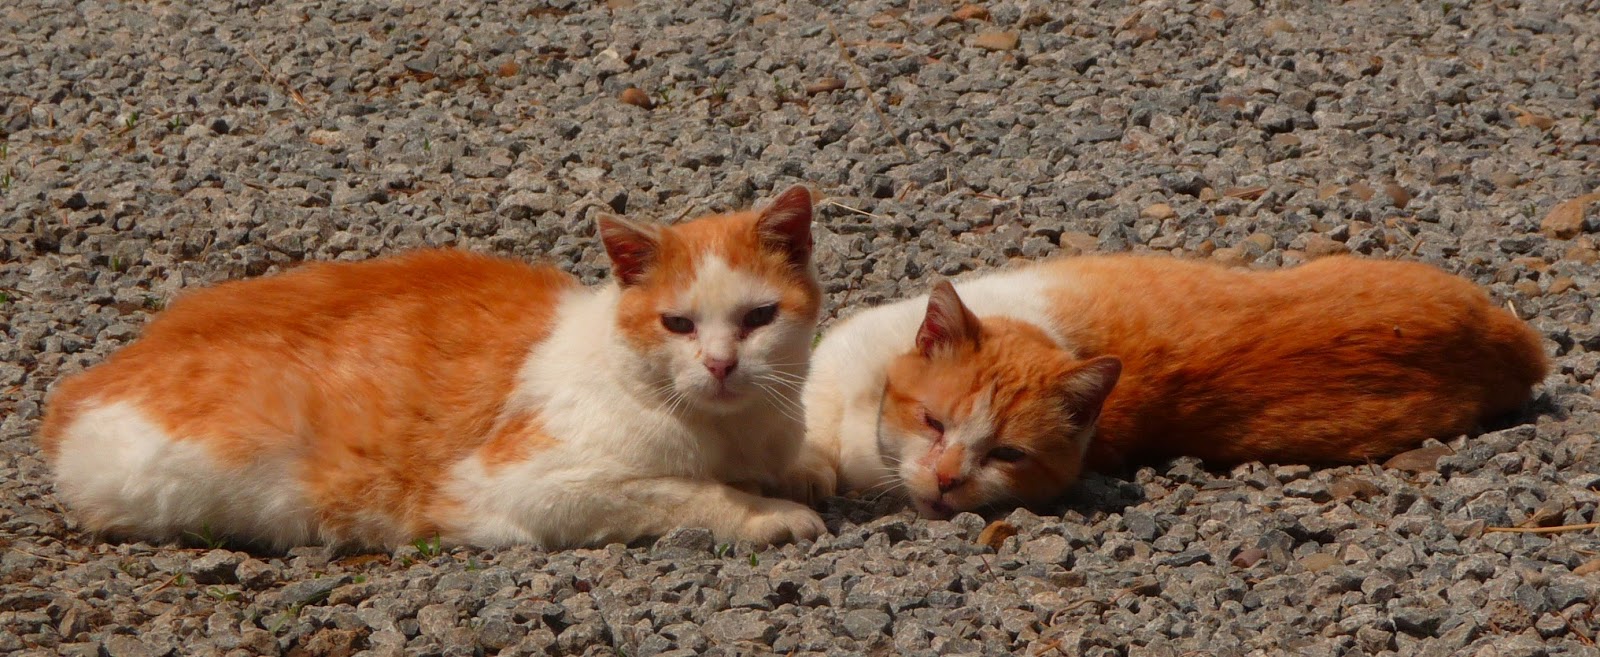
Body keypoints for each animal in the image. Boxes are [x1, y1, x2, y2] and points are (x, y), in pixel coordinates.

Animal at [38, 184, 829, 550]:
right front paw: (771, 513)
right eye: (678, 325)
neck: (729, 431)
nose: (722, 364)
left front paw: (806, 472)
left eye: (758, 319)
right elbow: (692, 493)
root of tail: (80, 384)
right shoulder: (529, 485)